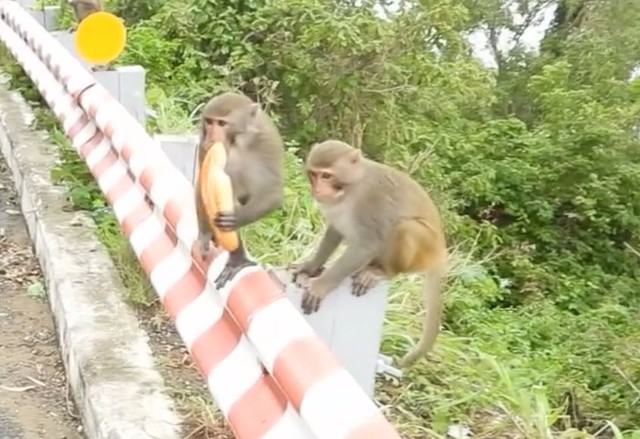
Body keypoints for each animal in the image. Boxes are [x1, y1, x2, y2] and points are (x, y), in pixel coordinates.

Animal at [195, 93, 284, 288]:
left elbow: (272, 190)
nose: (211, 137)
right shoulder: (204, 144)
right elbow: (203, 183)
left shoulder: (266, 141)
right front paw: (205, 234)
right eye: (209, 122)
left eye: (222, 123)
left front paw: (238, 217)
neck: (238, 140)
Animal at [292, 141, 448, 368]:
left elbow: (368, 244)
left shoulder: (371, 200)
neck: (350, 189)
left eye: (327, 176)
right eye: (314, 173)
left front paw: (321, 285)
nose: (318, 189)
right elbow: (335, 231)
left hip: (424, 250)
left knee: (406, 229)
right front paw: (311, 266)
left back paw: (382, 272)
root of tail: (440, 254)